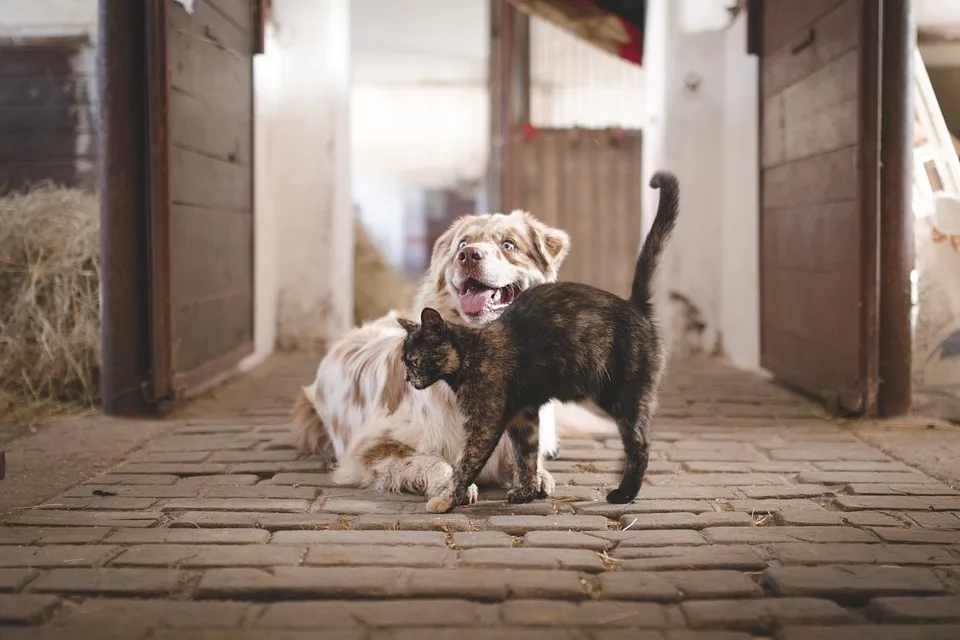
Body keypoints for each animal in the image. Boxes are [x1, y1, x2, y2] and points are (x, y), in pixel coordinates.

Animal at [288, 210, 616, 500]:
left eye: (509, 244)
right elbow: (432, 461)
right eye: (462, 243)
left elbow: (523, 458)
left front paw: (537, 476)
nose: (468, 255)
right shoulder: (370, 448)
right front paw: (451, 485)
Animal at [398, 172, 684, 512]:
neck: (471, 352)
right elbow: (526, 456)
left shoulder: (485, 423)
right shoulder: (523, 416)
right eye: (403, 361)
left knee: (640, 445)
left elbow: (465, 464)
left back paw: (624, 493)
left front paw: (447, 499)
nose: (407, 378)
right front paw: (527, 492)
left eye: (413, 361)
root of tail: (634, 305)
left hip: (624, 396)